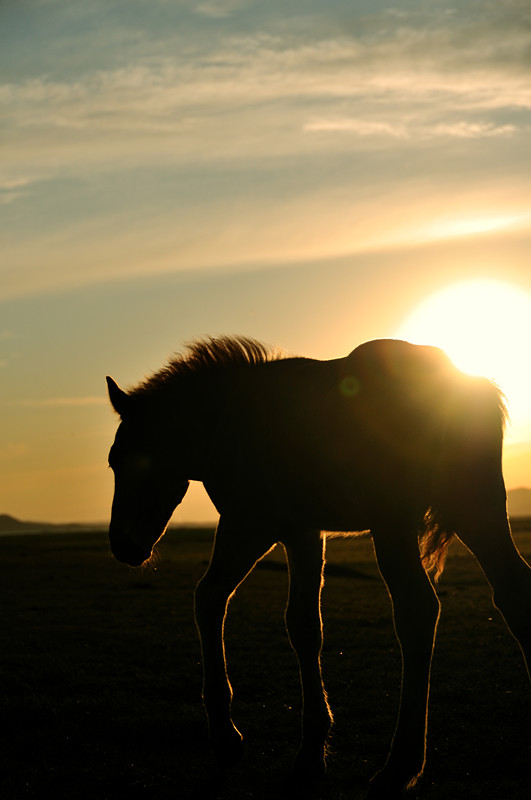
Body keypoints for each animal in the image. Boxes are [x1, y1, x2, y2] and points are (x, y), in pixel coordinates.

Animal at [106, 338, 528, 800]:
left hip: (395, 521)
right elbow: (305, 626)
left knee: (418, 611)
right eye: (112, 462)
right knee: (513, 593)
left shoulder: (249, 522)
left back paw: (399, 768)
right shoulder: (303, 532)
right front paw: (310, 753)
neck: (225, 417)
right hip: (476, 508)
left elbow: (209, 598)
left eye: (134, 460)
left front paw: (227, 739)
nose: (122, 545)